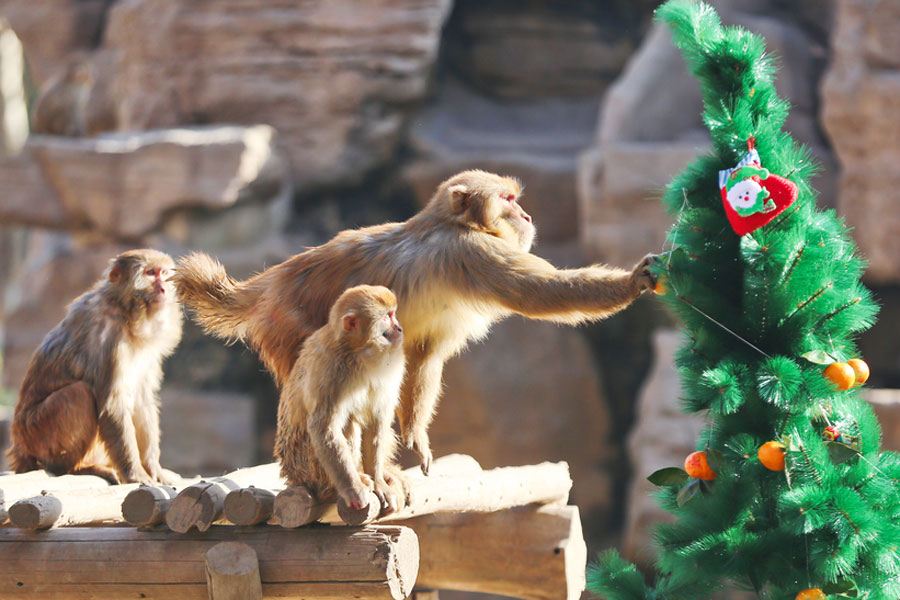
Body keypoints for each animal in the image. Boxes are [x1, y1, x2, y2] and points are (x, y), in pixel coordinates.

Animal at [4, 248, 185, 488]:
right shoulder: (109, 336)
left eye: (164, 273)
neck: (126, 310)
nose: (164, 287)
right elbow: (112, 406)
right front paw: (135, 474)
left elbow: (142, 401)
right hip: (37, 434)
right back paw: (74, 468)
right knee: (79, 394)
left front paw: (154, 468)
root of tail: (19, 446)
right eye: (150, 273)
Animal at [176, 168, 656, 474]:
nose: (527, 215)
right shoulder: (474, 254)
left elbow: (424, 357)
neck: (451, 223)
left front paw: (416, 435)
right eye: (507, 200)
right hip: (288, 326)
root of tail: (268, 283)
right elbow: (541, 294)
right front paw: (632, 282)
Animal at [272, 284, 402, 512]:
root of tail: (292, 476)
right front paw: (353, 489)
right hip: (308, 468)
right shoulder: (331, 373)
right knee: (346, 423)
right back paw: (338, 488)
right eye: (387, 317)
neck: (357, 353)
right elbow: (324, 429)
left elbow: (376, 421)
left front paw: (379, 482)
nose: (400, 328)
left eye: (393, 314)